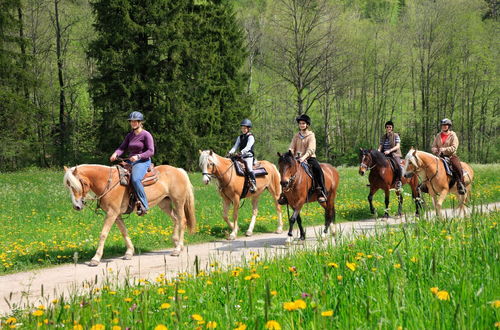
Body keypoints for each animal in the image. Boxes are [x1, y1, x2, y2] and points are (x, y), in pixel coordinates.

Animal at [62, 165, 195, 266]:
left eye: (77, 184)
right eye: (68, 186)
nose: (77, 206)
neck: (108, 182)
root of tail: (179, 170)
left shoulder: (111, 213)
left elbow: (103, 234)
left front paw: (95, 259)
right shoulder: (116, 215)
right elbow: (124, 231)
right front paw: (129, 252)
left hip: (178, 201)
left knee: (182, 220)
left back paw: (177, 249)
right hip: (164, 203)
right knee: (175, 219)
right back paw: (177, 243)